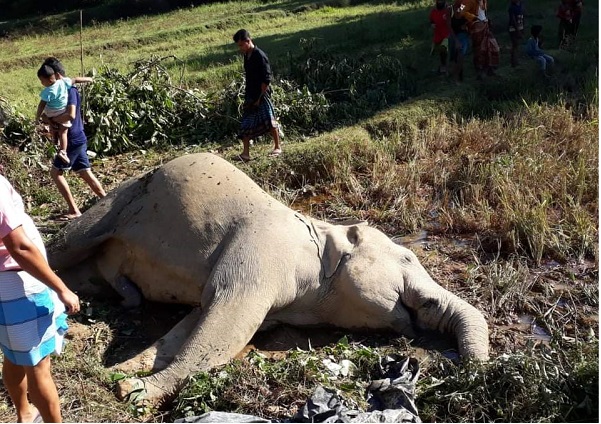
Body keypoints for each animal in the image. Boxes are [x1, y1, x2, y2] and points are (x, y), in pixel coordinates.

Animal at [47, 152, 489, 405]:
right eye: (408, 256)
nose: (469, 370)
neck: (320, 237)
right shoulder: (258, 255)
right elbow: (224, 327)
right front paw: (133, 392)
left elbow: (196, 321)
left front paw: (124, 372)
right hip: (116, 203)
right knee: (65, 243)